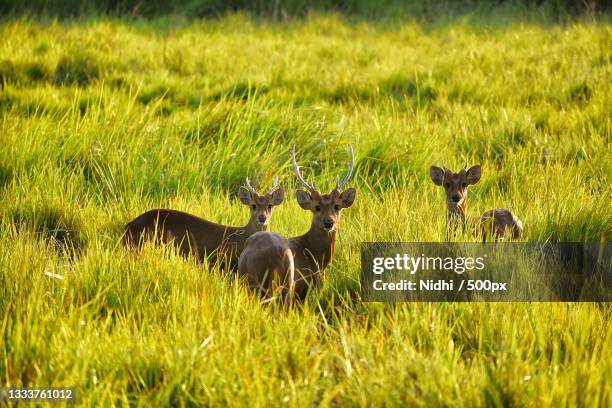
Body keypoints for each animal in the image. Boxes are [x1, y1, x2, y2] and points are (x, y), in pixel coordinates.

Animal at [237, 145, 356, 304]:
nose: (328, 222)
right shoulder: (305, 287)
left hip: (246, 280)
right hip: (286, 282)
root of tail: (270, 257)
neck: (314, 254)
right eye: (316, 207)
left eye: (337, 206)